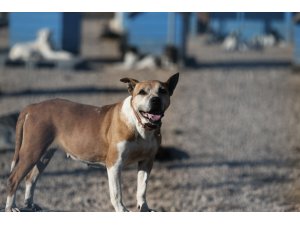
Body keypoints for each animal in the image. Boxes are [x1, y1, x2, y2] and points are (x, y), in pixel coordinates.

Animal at [5, 73, 178, 212]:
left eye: (162, 91)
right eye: (142, 92)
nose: (155, 100)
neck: (140, 124)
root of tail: (32, 107)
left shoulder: (146, 162)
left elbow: (142, 188)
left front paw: (145, 208)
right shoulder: (114, 164)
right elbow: (116, 193)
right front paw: (122, 210)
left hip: (44, 154)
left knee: (30, 178)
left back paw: (29, 204)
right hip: (32, 152)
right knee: (14, 178)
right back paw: (11, 207)